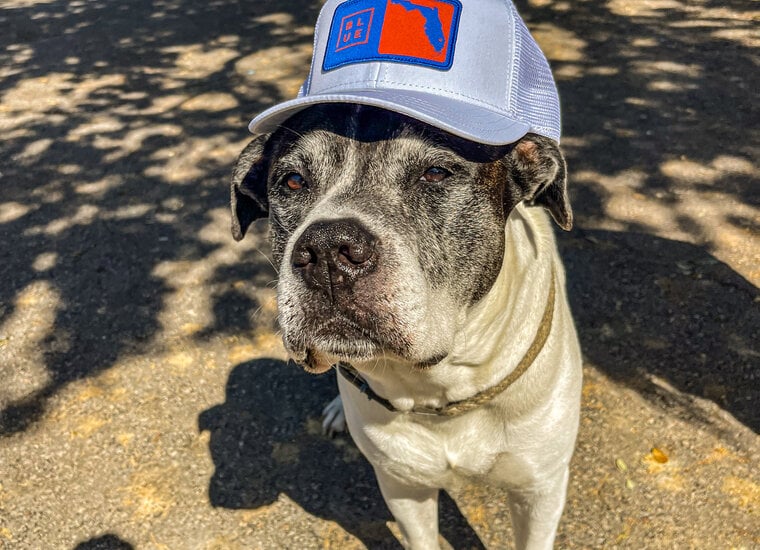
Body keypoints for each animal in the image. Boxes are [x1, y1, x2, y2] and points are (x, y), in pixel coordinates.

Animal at [229, 0, 580, 548]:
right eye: (292, 181)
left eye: (435, 173)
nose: (328, 250)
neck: (441, 389)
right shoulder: (403, 486)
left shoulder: (539, 491)